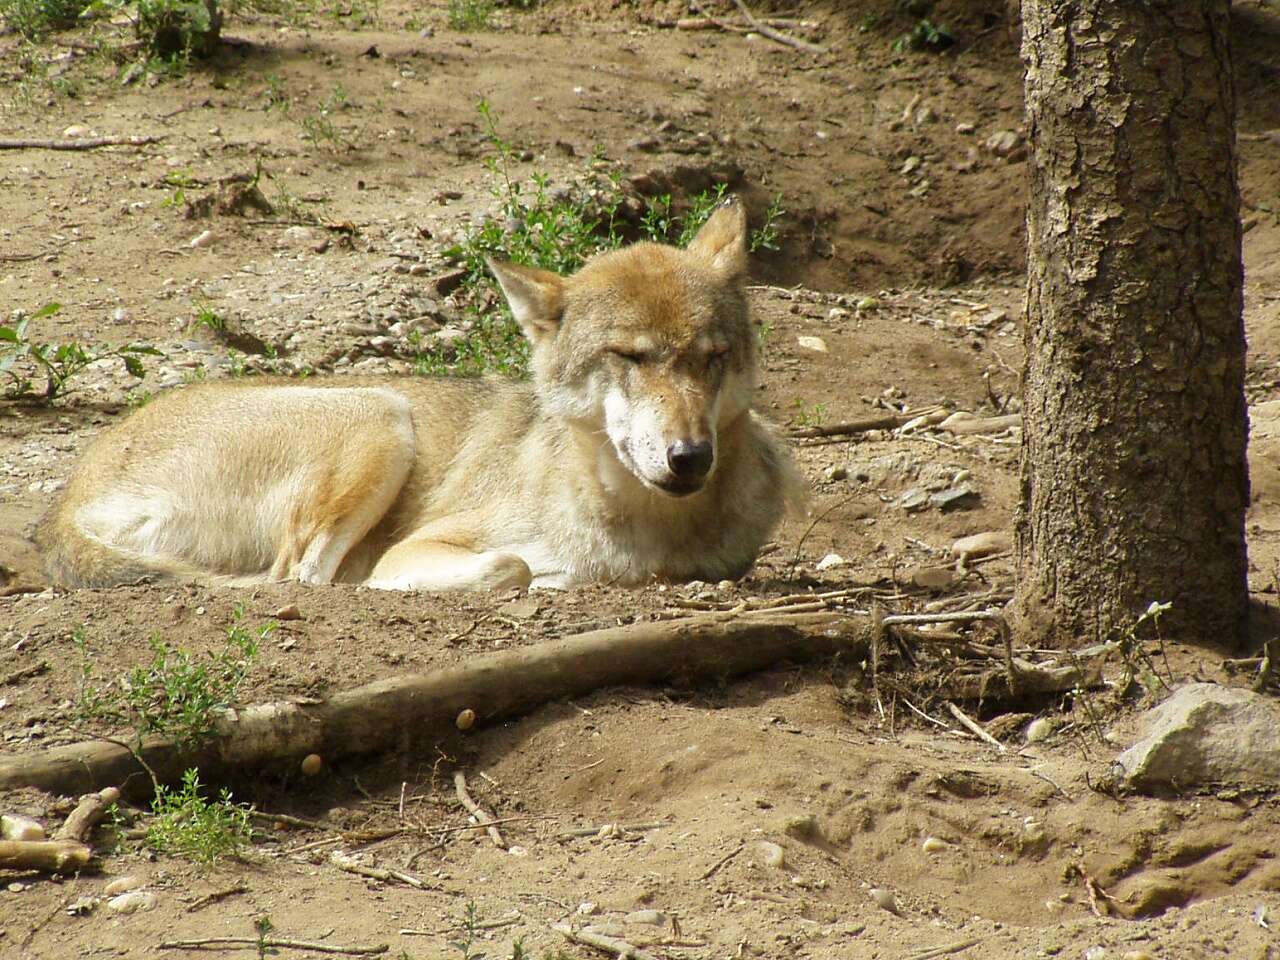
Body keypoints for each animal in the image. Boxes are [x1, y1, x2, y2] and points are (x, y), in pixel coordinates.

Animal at [40, 200, 803, 593]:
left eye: (712, 358)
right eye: (630, 357)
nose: (689, 457)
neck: (647, 529)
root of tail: (65, 501)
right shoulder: (417, 549)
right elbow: (512, 565)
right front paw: (554, 579)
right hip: (382, 416)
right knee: (301, 577)